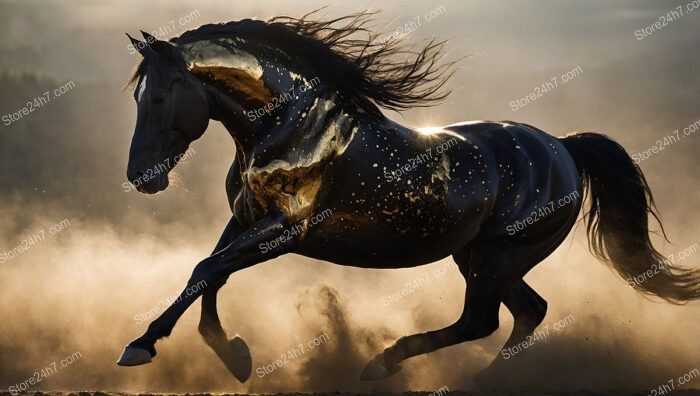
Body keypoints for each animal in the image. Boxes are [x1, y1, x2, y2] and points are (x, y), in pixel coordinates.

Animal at [116, 11, 700, 384]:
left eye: (160, 96)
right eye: (138, 97)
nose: (142, 177)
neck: (287, 127)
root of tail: (562, 147)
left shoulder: (285, 231)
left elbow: (205, 270)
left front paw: (140, 346)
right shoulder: (245, 222)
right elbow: (209, 273)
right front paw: (234, 357)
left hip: (500, 255)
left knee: (482, 321)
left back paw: (385, 363)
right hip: (482, 256)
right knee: (529, 313)